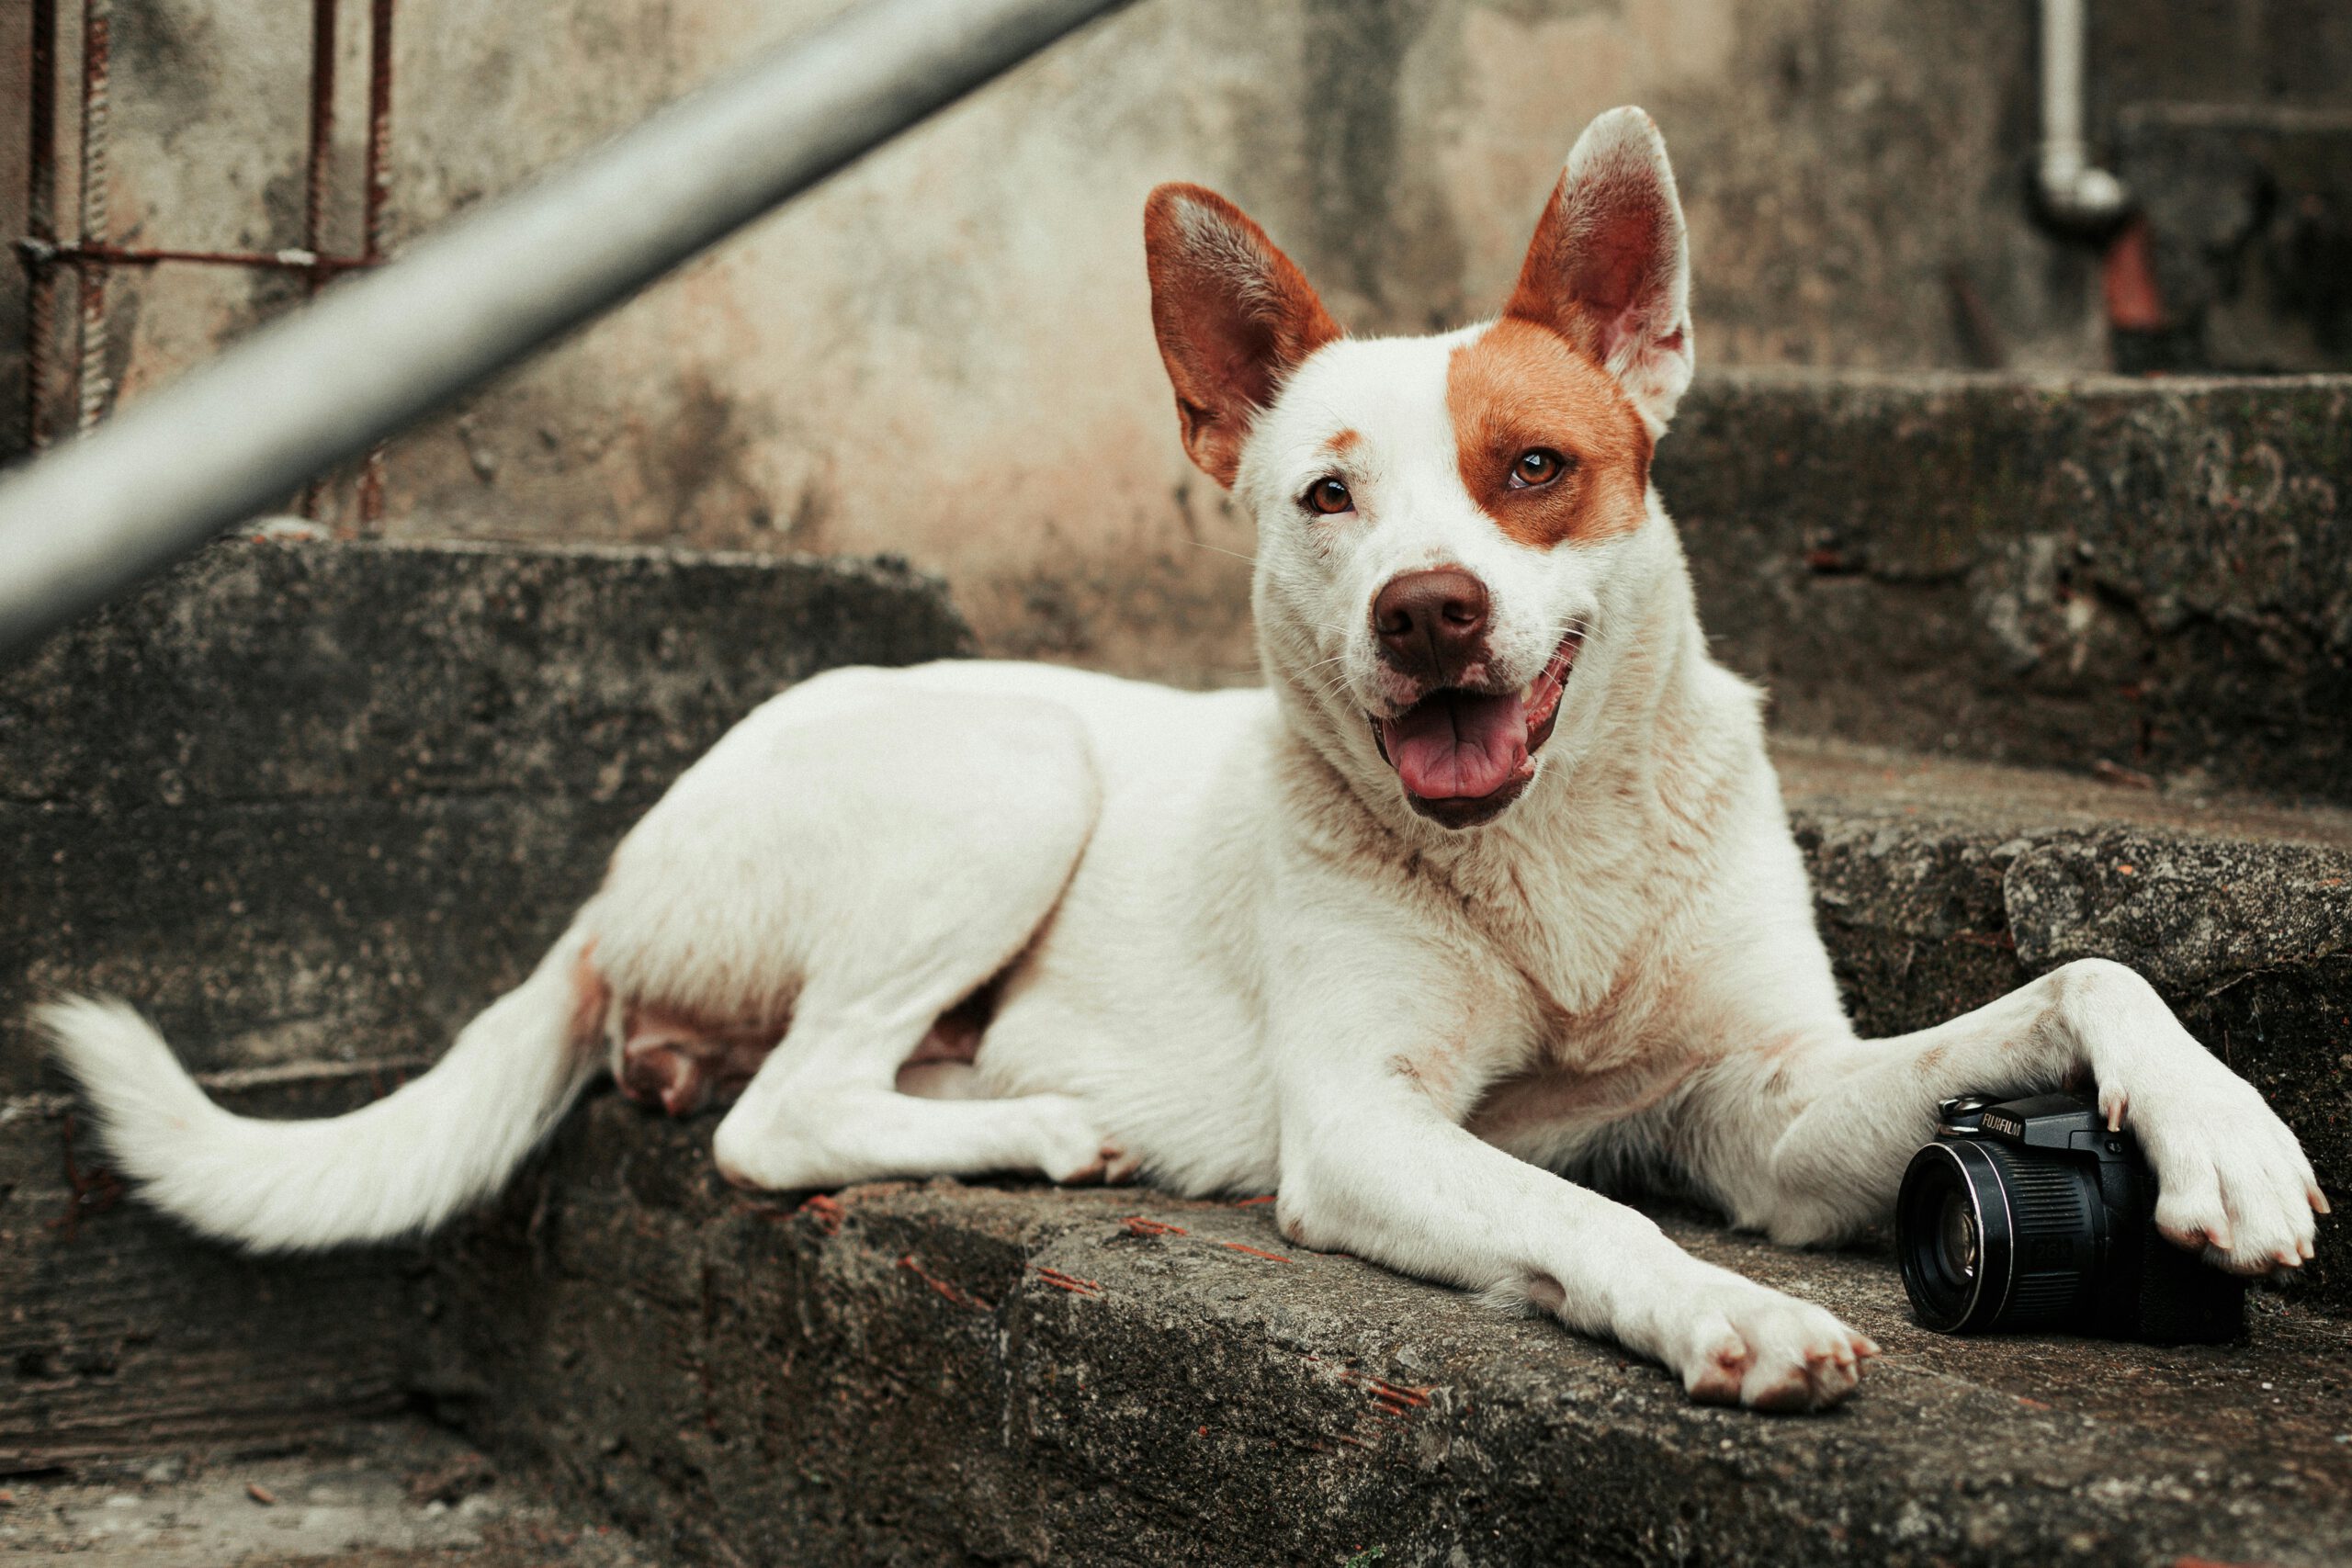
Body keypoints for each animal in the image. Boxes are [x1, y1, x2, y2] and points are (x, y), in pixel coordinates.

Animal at [45, 107, 2324, 1410]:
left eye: (1532, 469)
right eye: (1325, 495)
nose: (1429, 611)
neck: (1546, 866)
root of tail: (615, 876)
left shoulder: (1761, 1104)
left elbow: (2076, 974)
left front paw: (2217, 1142)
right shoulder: (1372, 1126)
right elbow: (1569, 1209)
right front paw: (1716, 1313)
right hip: (1006, 772)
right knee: (780, 1119)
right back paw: (1034, 1126)